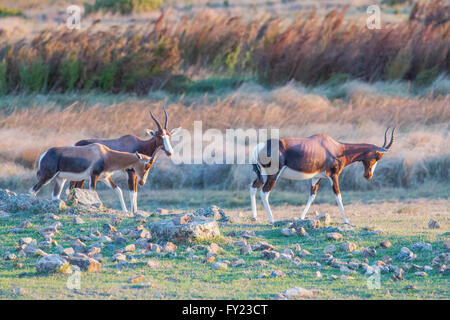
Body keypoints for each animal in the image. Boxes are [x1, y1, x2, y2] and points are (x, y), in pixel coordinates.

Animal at [250, 127, 394, 225]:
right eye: (377, 156)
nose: (368, 175)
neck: (336, 148)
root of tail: (260, 146)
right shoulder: (334, 176)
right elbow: (338, 196)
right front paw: (347, 220)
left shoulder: (316, 177)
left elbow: (312, 196)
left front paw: (301, 217)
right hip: (273, 175)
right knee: (264, 192)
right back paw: (272, 219)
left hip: (262, 175)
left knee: (253, 187)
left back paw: (254, 217)